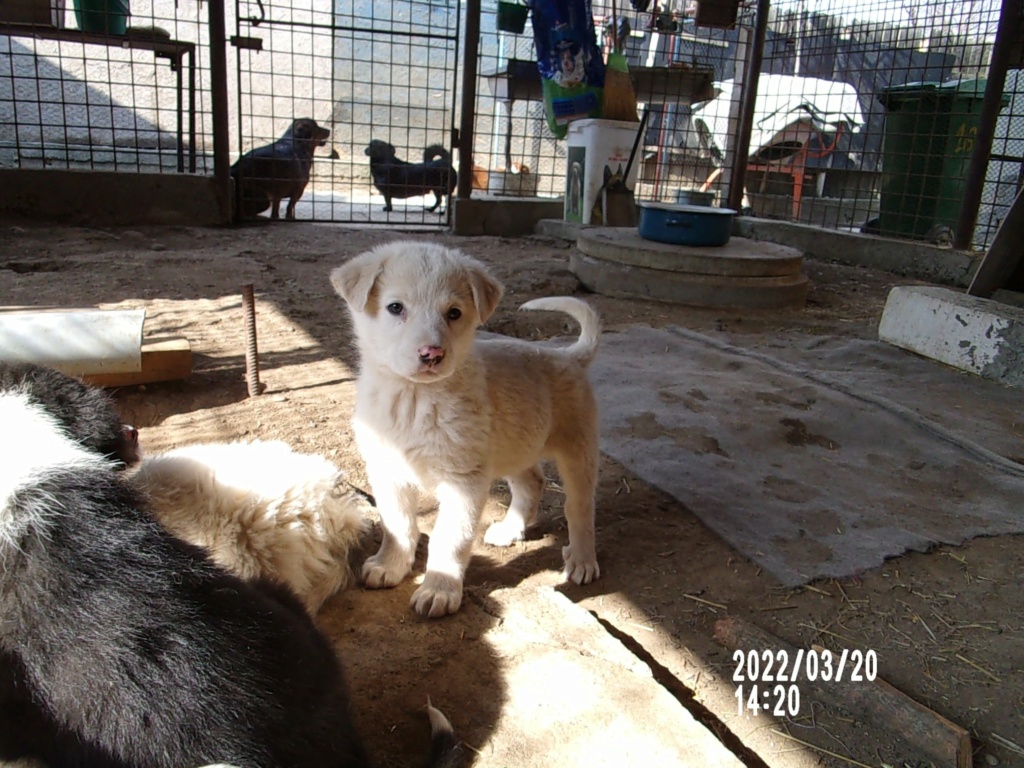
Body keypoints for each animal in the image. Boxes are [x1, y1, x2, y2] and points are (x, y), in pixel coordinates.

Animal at [331, 240, 598, 618]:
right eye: (395, 307)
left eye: (454, 313)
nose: (431, 353)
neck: (414, 398)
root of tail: (570, 357)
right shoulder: (388, 471)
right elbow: (397, 524)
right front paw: (389, 566)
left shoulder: (463, 480)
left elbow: (449, 539)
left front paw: (438, 591)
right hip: (514, 447)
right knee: (532, 482)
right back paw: (510, 529)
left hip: (578, 450)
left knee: (579, 507)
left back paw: (582, 560)